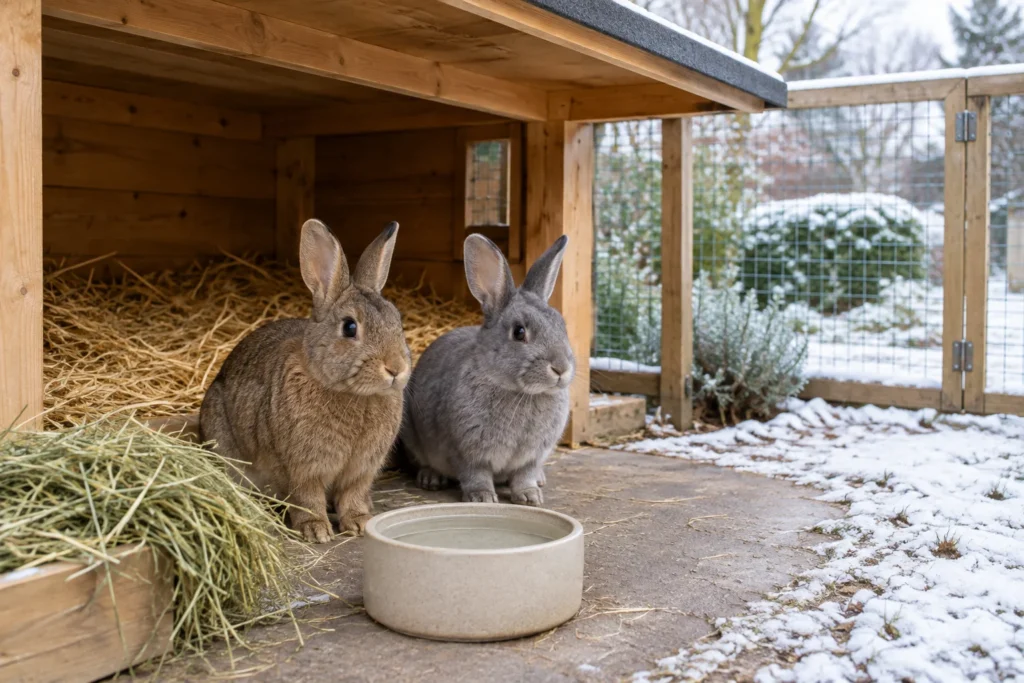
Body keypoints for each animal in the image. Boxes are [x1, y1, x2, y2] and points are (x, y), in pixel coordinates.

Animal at [199, 219, 411, 543]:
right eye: (350, 327)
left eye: (397, 322)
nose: (396, 368)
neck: (351, 394)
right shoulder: (300, 468)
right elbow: (306, 498)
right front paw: (316, 531)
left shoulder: (360, 471)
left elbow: (352, 495)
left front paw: (360, 523)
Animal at [400, 233, 573, 505]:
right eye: (519, 332)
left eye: (561, 325)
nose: (561, 368)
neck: (520, 392)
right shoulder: (467, 452)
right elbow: (476, 474)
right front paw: (482, 498)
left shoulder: (532, 457)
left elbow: (524, 475)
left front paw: (530, 497)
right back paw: (430, 478)